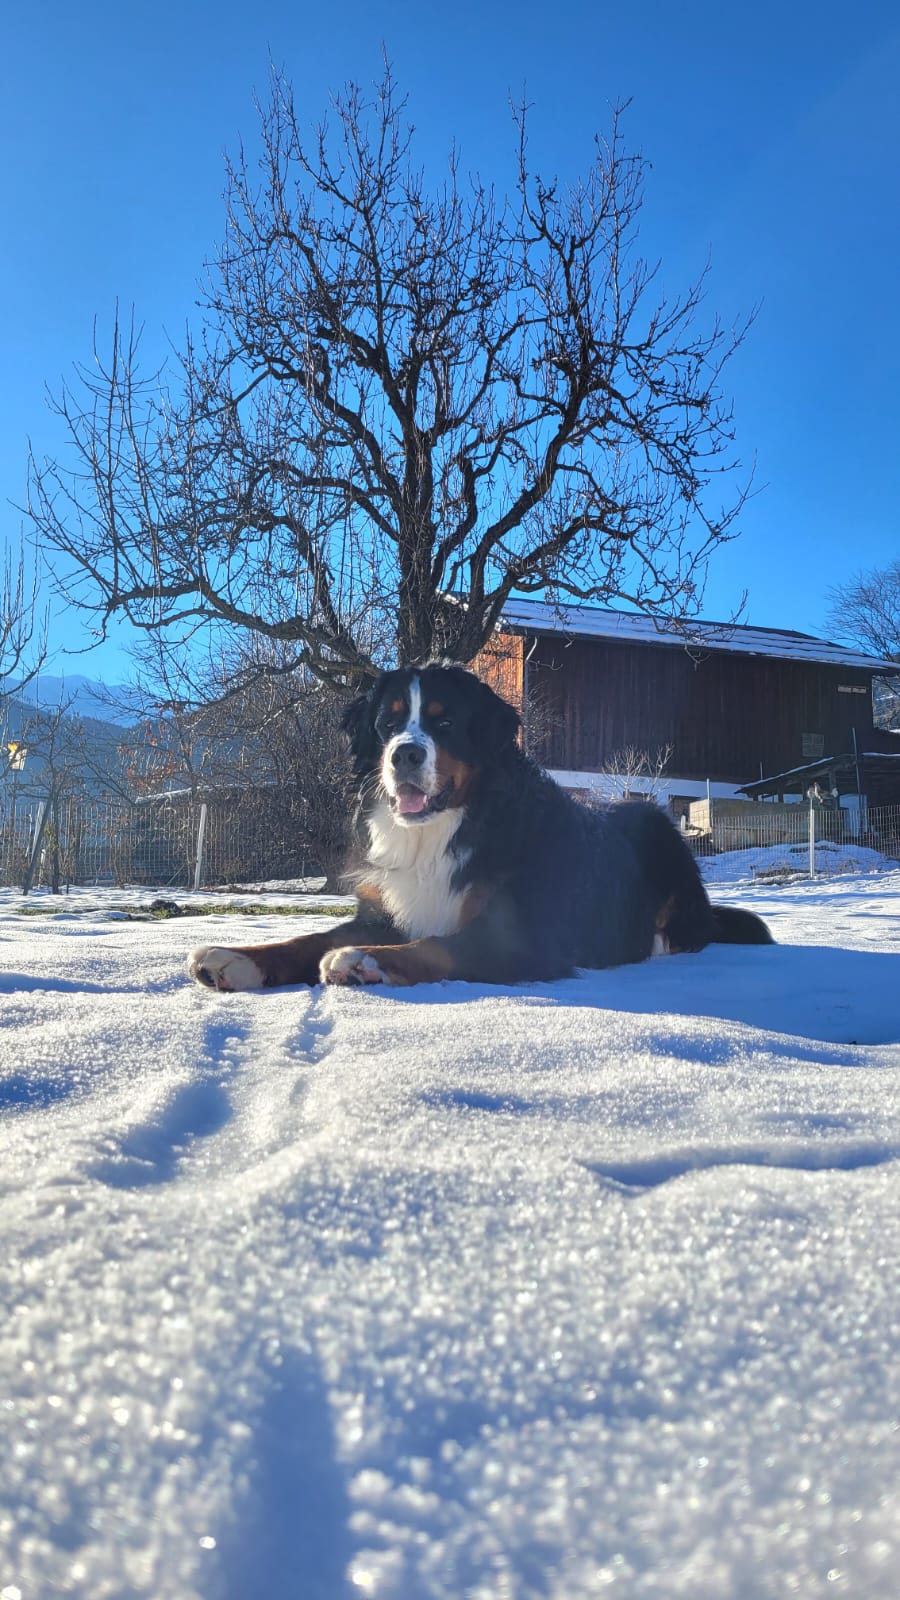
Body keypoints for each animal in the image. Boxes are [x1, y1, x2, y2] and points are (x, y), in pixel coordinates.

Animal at [188, 662, 772, 992]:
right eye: (387, 723)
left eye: (445, 721)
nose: (404, 755)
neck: (439, 830)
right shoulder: (381, 914)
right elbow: (305, 939)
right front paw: (234, 959)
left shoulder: (522, 934)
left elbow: (439, 946)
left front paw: (363, 963)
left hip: (658, 831)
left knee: (688, 932)